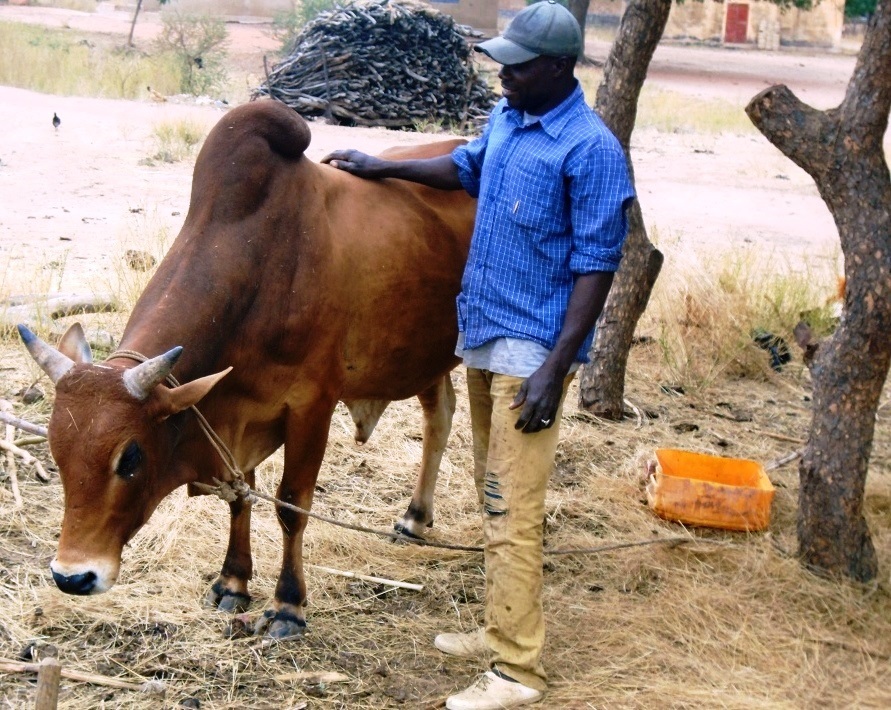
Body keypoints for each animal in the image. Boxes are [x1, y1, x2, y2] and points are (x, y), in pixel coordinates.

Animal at [18, 99, 475, 639]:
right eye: (55, 451)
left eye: (129, 458)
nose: (72, 577)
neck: (261, 266)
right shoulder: (236, 416)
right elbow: (240, 499)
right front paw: (232, 582)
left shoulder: (311, 406)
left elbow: (291, 505)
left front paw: (287, 606)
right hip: (426, 356)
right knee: (439, 416)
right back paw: (415, 518)